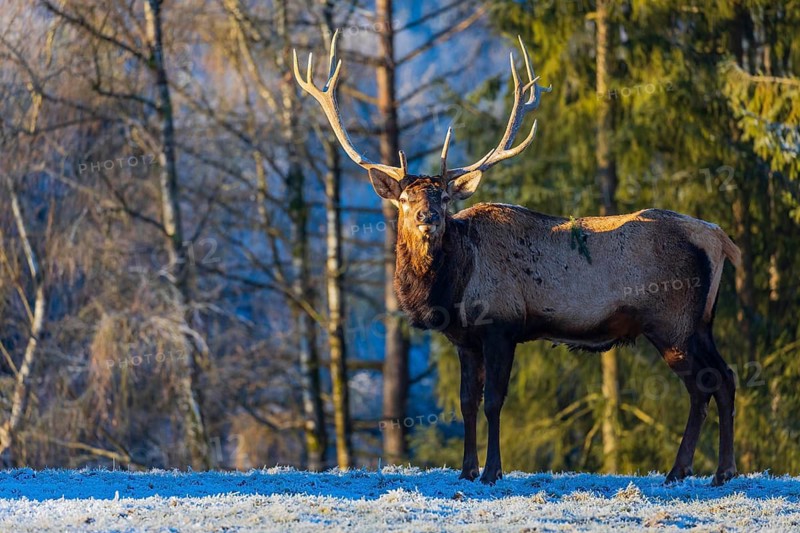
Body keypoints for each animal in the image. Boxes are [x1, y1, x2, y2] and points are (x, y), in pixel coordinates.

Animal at [294, 31, 742, 487]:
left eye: (444, 197)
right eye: (404, 198)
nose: (427, 218)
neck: (452, 288)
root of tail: (719, 238)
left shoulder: (501, 324)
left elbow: (494, 401)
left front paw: (492, 471)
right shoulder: (464, 338)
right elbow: (466, 402)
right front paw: (466, 470)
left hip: (672, 321)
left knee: (704, 384)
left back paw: (691, 470)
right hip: (700, 322)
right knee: (724, 378)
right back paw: (712, 471)